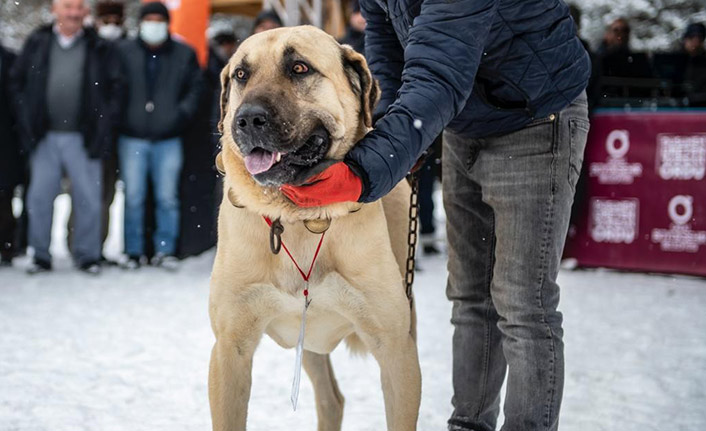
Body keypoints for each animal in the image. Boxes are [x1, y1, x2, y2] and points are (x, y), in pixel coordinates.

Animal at [209, 27, 418, 431]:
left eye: (299, 68)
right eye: (241, 74)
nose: (246, 119)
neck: (296, 219)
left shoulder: (396, 349)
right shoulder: (230, 349)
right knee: (331, 399)